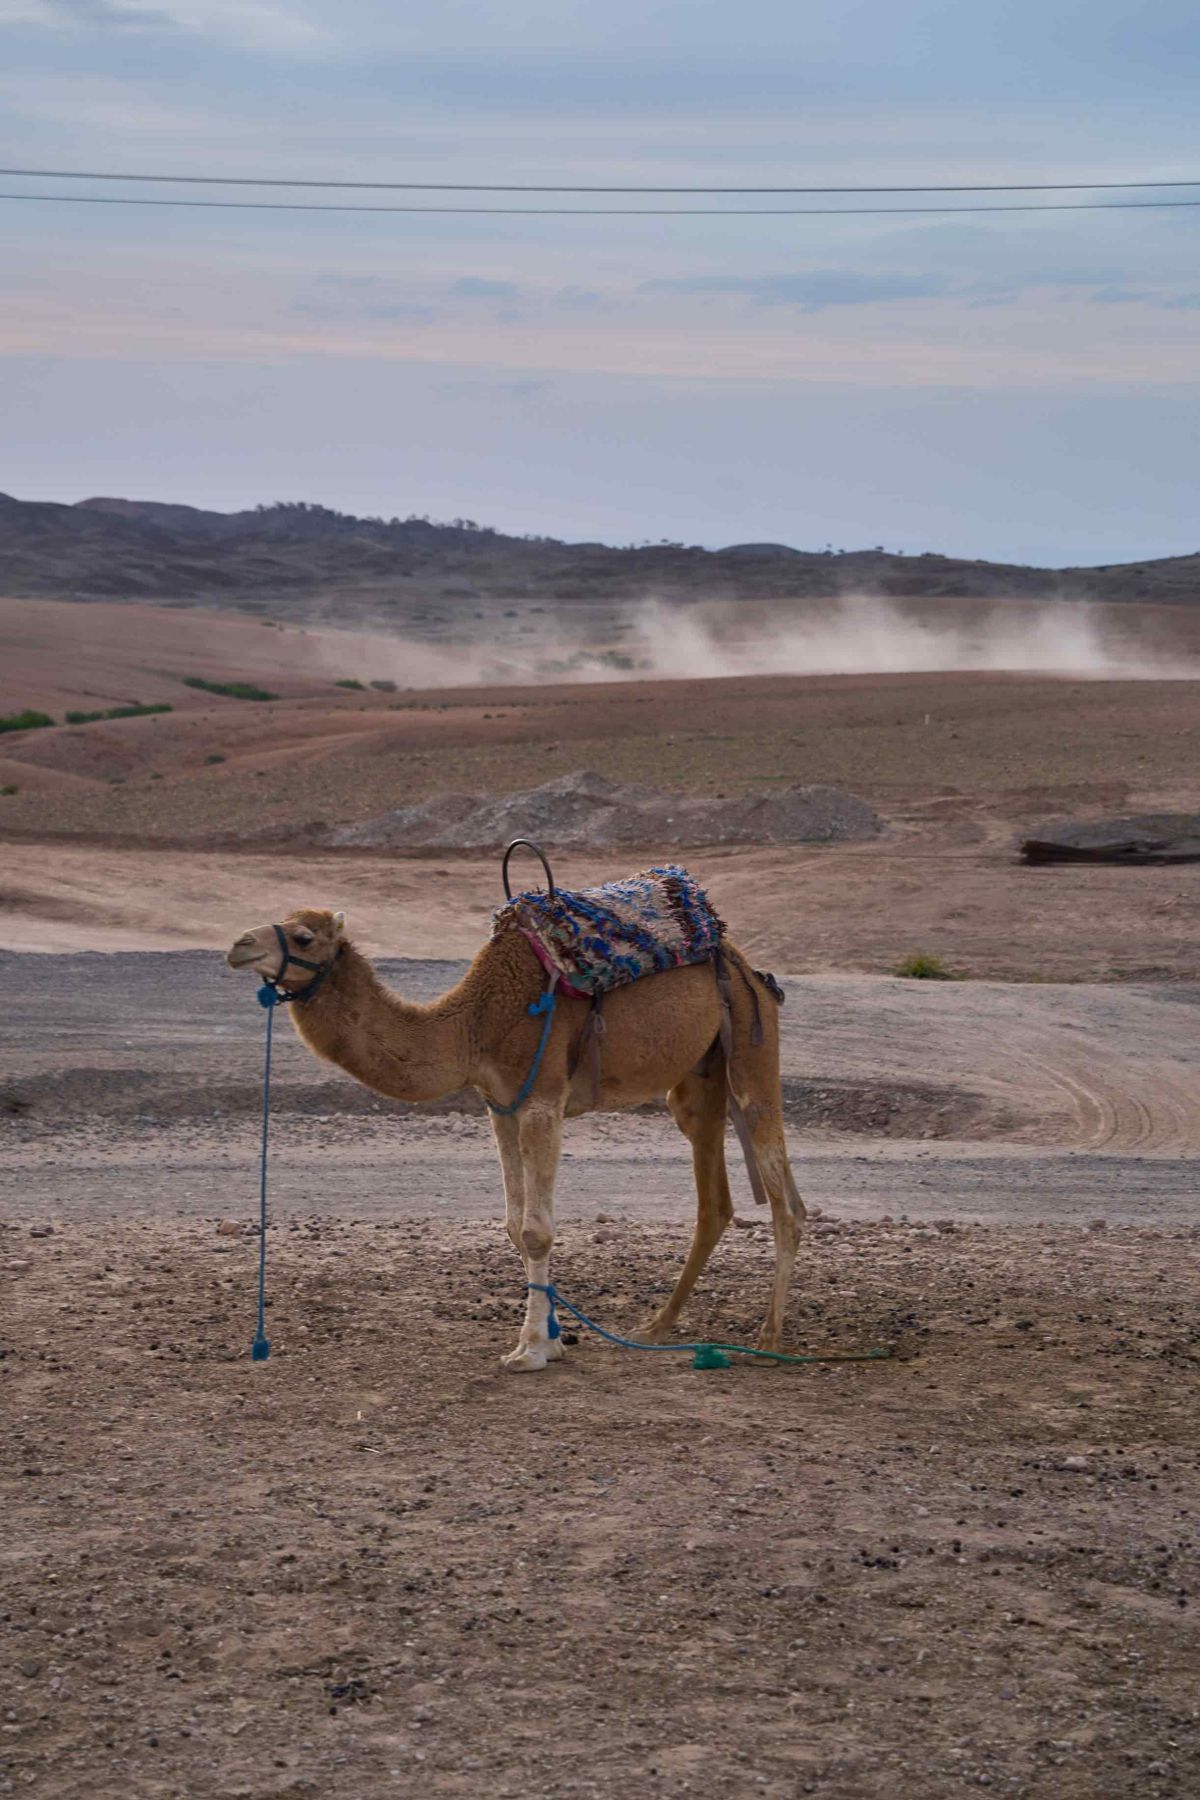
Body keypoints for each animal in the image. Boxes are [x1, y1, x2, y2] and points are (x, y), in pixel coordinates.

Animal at [226, 905, 806, 1371]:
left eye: (303, 937)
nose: (238, 945)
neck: (473, 1025)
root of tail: (751, 970)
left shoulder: (541, 1100)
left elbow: (536, 1231)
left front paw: (529, 1351)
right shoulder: (499, 1106)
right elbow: (511, 1226)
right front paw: (553, 1339)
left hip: (752, 1047)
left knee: (786, 1201)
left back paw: (769, 1339)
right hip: (696, 1079)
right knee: (714, 1202)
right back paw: (657, 1325)